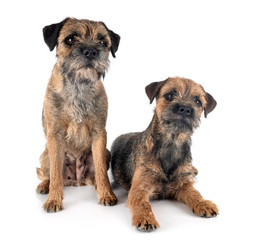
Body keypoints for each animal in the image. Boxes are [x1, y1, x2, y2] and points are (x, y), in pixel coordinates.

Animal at [36, 17, 120, 212]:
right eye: (70, 39)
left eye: (103, 42)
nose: (91, 51)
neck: (78, 85)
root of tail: (76, 181)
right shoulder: (55, 134)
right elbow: (56, 174)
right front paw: (53, 200)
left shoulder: (99, 133)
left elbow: (101, 170)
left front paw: (107, 194)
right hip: (45, 155)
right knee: (49, 174)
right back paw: (44, 186)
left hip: (106, 152)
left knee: (97, 173)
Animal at [110, 76, 218, 231]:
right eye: (169, 95)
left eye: (198, 101)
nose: (185, 109)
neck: (171, 143)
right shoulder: (140, 187)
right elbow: (142, 203)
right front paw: (146, 218)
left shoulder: (183, 185)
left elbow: (195, 193)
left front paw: (203, 203)